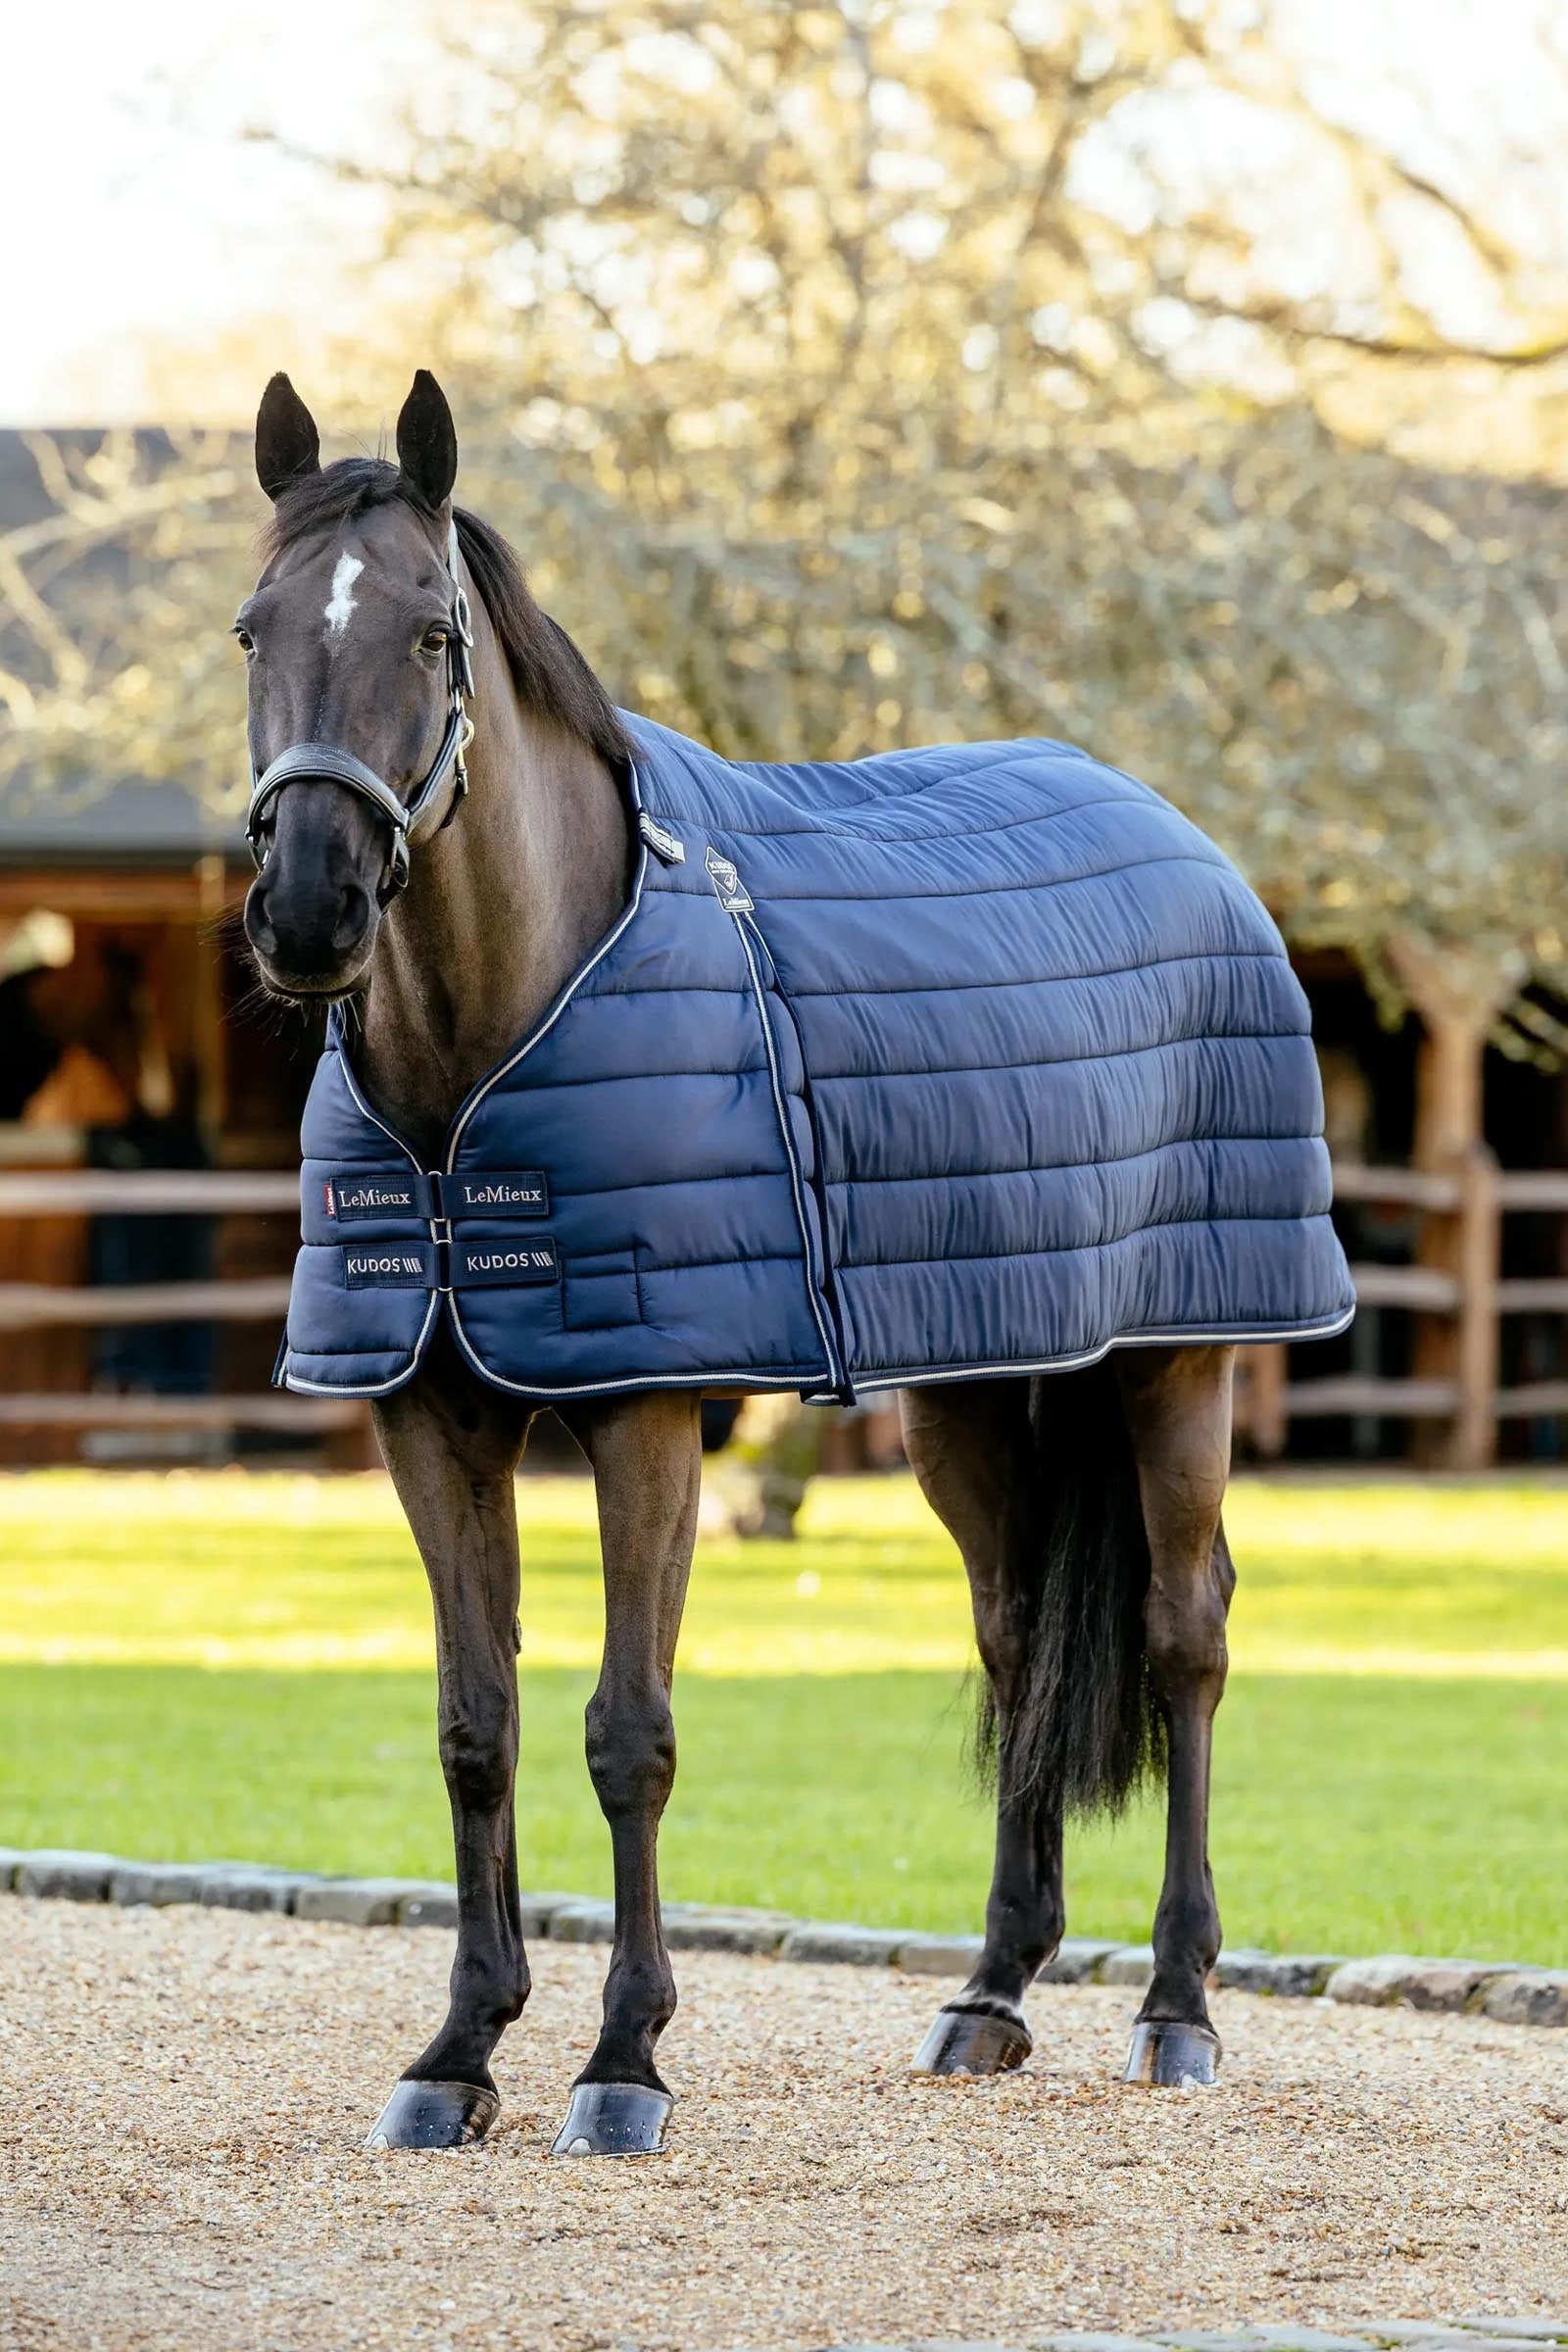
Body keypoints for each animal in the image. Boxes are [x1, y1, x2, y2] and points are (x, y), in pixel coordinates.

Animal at [238, 369, 1347, 2155]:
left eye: (428, 632)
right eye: (253, 628)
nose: (310, 908)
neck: (482, 1060)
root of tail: (1190, 841)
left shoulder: (644, 1408)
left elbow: (629, 1734)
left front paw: (623, 2063)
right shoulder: (429, 1417)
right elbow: (478, 1728)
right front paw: (459, 2051)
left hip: (1179, 1364)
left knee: (1188, 1637)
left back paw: (1178, 2008)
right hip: (972, 1388)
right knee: (1019, 1638)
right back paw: (992, 1993)